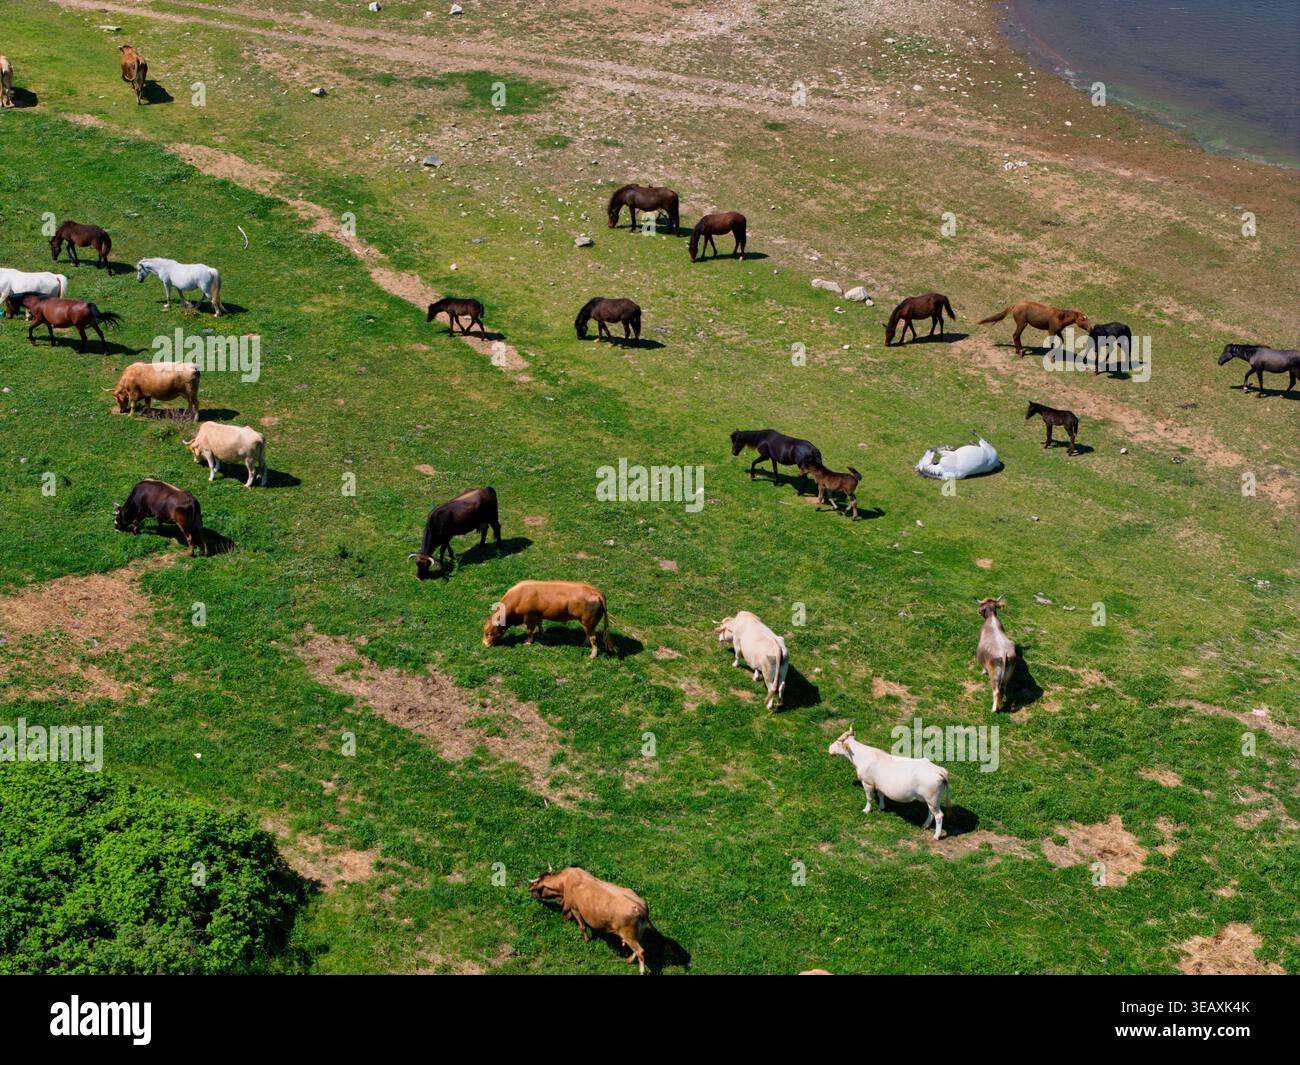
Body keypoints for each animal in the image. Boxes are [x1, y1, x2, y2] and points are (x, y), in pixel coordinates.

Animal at [483, 580, 612, 658]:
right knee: (588, 635)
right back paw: (583, 644)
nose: (484, 644)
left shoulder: (529, 616)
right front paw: (542, 634)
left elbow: (530, 630)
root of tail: (597, 592)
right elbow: (540, 625)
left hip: (588, 622)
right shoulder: (538, 614)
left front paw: (528, 641)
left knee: (593, 638)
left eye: (489, 633)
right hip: (587, 623)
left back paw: (592, 655)